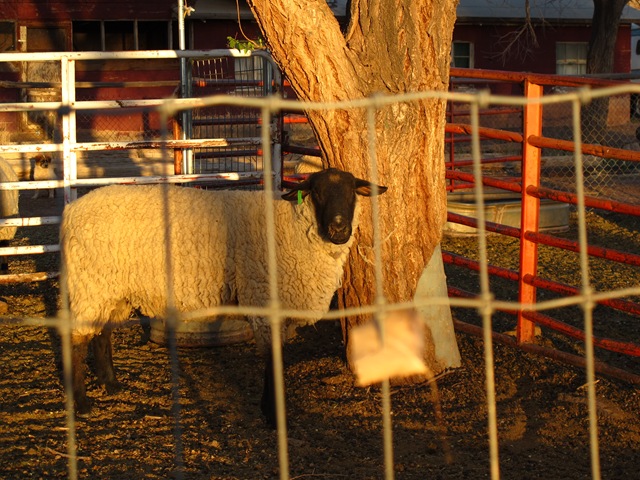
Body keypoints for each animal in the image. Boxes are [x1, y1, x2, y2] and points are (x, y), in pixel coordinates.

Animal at [60, 168, 388, 424]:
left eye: (352, 193)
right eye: (317, 192)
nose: (339, 228)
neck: (291, 226)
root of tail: (70, 212)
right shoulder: (263, 298)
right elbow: (273, 360)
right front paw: (273, 416)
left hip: (111, 288)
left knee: (101, 333)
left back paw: (111, 384)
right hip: (90, 283)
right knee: (77, 341)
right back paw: (82, 403)